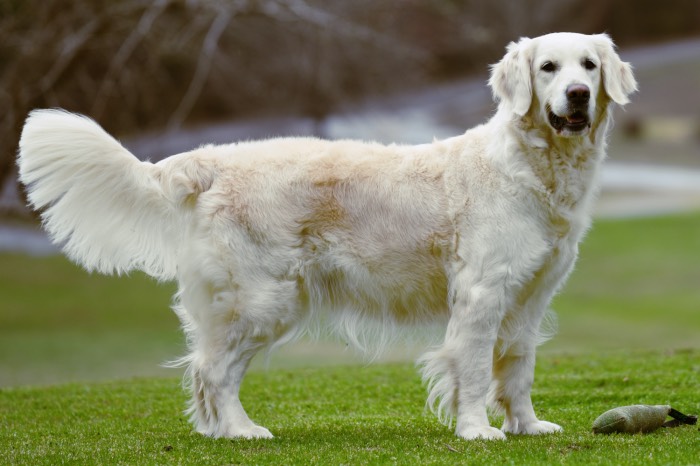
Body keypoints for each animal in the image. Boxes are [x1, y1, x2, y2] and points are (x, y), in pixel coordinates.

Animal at [19, 32, 636, 440]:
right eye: (548, 68)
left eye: (588, 65)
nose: (578, 94)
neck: (533, 168)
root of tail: (209, 160)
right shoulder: (483, 293)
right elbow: (477, 369)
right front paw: (476, 430)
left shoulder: (530, 297)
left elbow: (519, 369)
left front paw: (527, 426)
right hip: (264, 299)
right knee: (212, 370)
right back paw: (242, 432)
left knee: (205, 370)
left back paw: (219, 433)